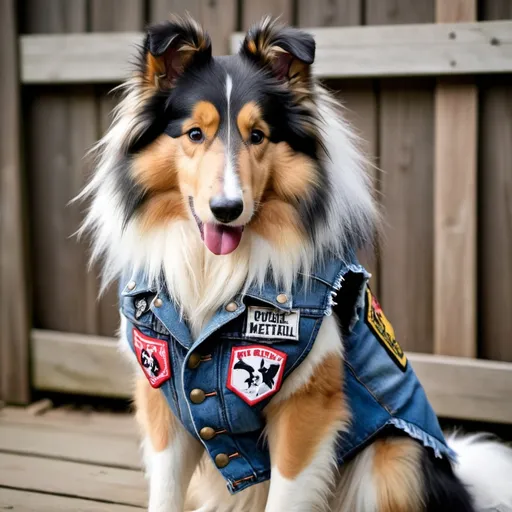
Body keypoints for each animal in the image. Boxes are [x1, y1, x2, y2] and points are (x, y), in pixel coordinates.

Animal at [79, 14, 512, 510]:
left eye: (258, 136)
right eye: (194, 134)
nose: (226, 209)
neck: (214, 270)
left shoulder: (307, 404)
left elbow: (286, 494)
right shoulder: (163, 398)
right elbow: (165, 494)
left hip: (395, 462)